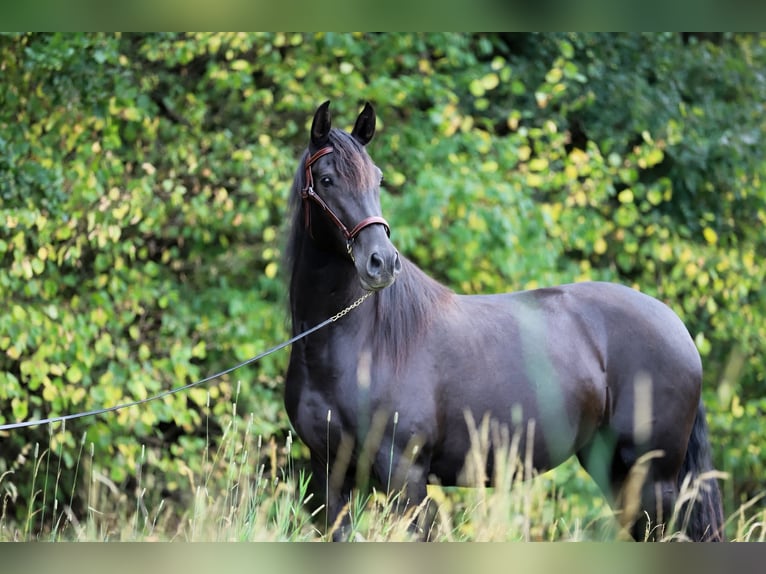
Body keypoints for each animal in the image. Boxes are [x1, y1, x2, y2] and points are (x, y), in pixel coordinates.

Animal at [283, 100, 724, 541]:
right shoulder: (329, 474)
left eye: (377, 179)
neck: (360, 345)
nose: (382, 262)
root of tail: (676, 326)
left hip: (652, 479)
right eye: (327, 180)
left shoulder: (404, 475)